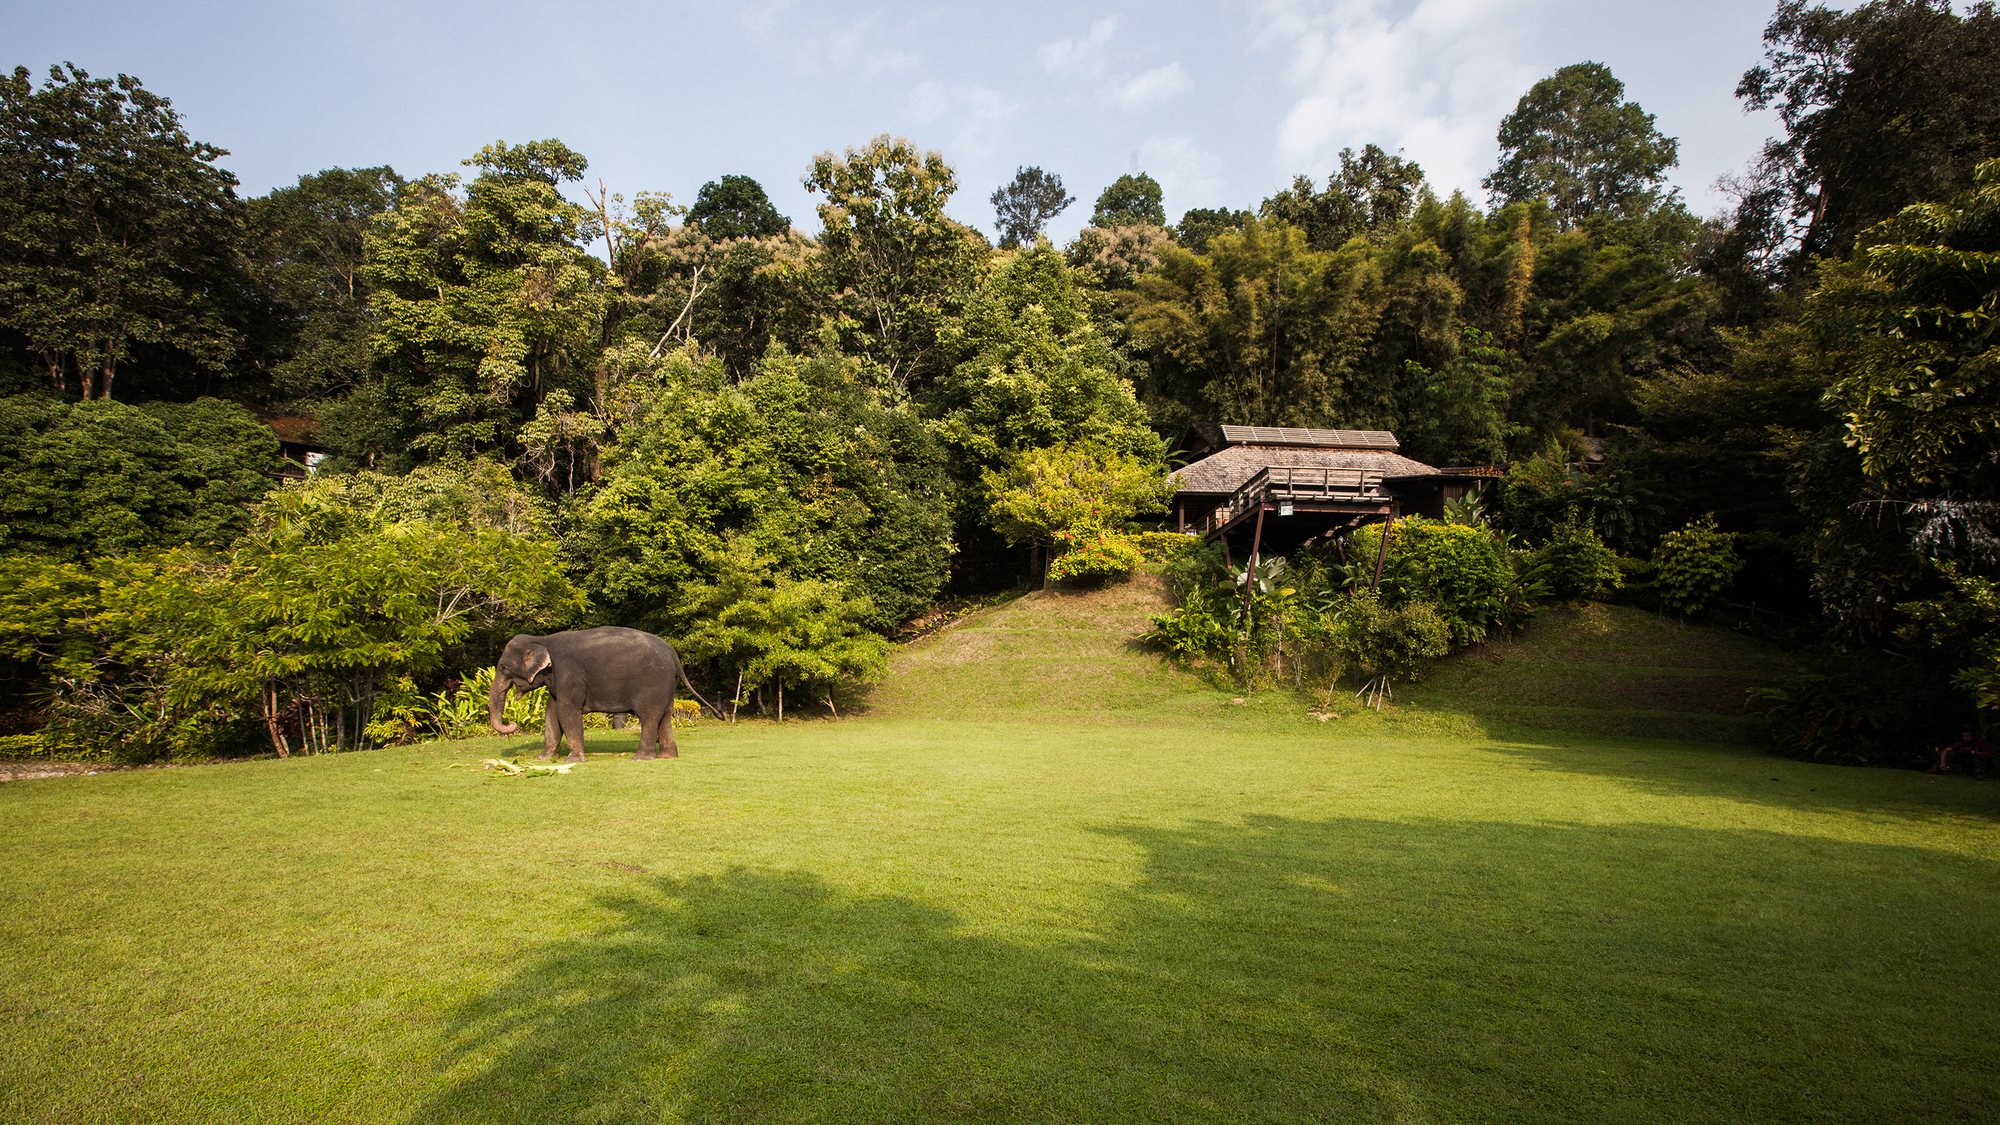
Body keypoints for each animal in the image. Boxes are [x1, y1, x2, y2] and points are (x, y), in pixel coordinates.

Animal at [486, 620, 720, 760]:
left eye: (503, 667)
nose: (511, 722)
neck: (542, 639)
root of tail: (673, 654)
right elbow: (551, 712)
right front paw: (544, 759)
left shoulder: (569, 673)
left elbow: (566, 711)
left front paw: (573, 760)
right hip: (666, 686)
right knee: (665, 717)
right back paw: (667, 757)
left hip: (653, 682)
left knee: (649, 717)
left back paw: (640, 758)